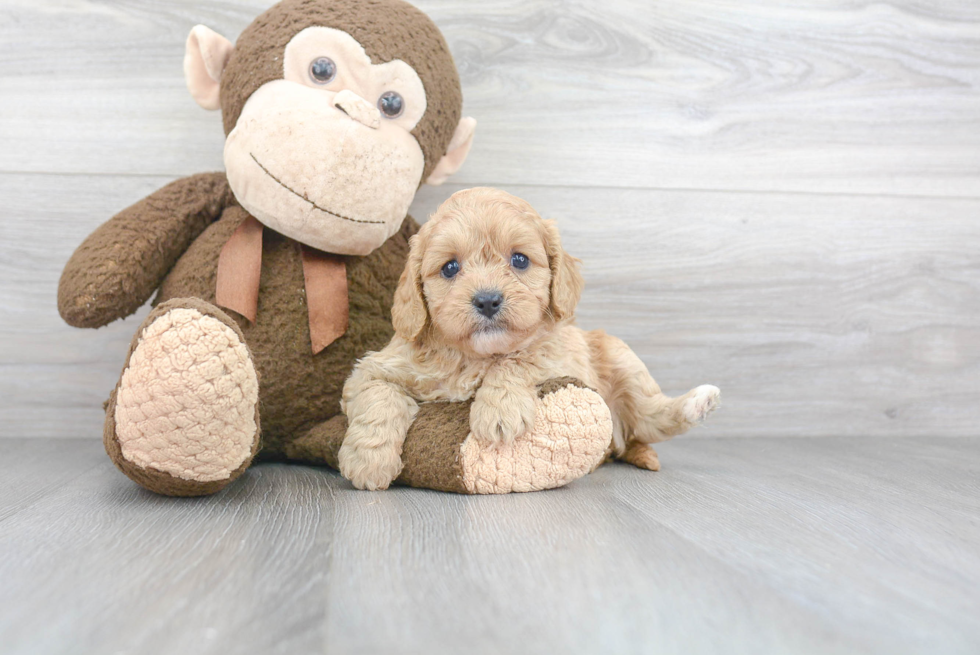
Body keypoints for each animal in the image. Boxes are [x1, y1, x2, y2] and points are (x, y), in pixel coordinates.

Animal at [338, 187, 720, 490]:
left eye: (520, 260)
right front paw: (368, 462)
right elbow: (377, 398)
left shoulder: (560, 350)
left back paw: (697, 402)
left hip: (622, 359)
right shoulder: (372, 368)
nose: (487, 300)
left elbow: (520, 355)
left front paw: (498, 411)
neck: (473, 356)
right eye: (449, 267)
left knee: (652, 417)